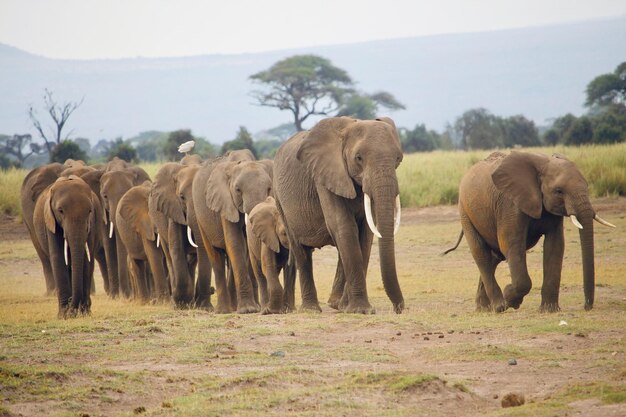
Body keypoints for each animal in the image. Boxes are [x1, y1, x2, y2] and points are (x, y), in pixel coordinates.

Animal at [31, 175, 99, 316]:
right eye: (60, 211)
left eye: (90, 211)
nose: (73, 305)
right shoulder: (50, 222)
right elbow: (58, 257)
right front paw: (65, 315)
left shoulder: (92, 224)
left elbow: (86, 258)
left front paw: (83, 313)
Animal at [149, 156, 212, 308]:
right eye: (182, 197)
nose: (213, 290)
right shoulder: (172, 208)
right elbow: (176, 247)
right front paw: (181, 304)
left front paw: (205, 307)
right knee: (170, 255)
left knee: (193, 260)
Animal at [191, 150, 272, 312]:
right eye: (238, 190)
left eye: (269, 189)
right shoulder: (224, 202)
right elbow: (235, 242)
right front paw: (248, 310)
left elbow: (243, 247)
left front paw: (253, 308)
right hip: (200, 216)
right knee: (215, 256)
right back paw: (224, 310)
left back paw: (234, 307)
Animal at [274, 115, 404, 314]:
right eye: (358, 158)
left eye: (398, 158)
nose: (399, 309)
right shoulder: (323, 176)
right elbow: (343, 227)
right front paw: (361, 311)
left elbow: (365, 234)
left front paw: (347, 307)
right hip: (280, 200)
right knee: (301, 251)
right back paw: (311, 309)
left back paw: (336, 304)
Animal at [444, 150, 616, 312]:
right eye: (559, 191)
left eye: (587, 186)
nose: (587, 306)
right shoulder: (510, 204)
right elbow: (512, 245)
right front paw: (510, 298)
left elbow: (555, 246)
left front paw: (549, 310)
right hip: (465, 211)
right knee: (482, 255)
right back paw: (499, 306)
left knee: (495, 256)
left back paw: (485, 308)